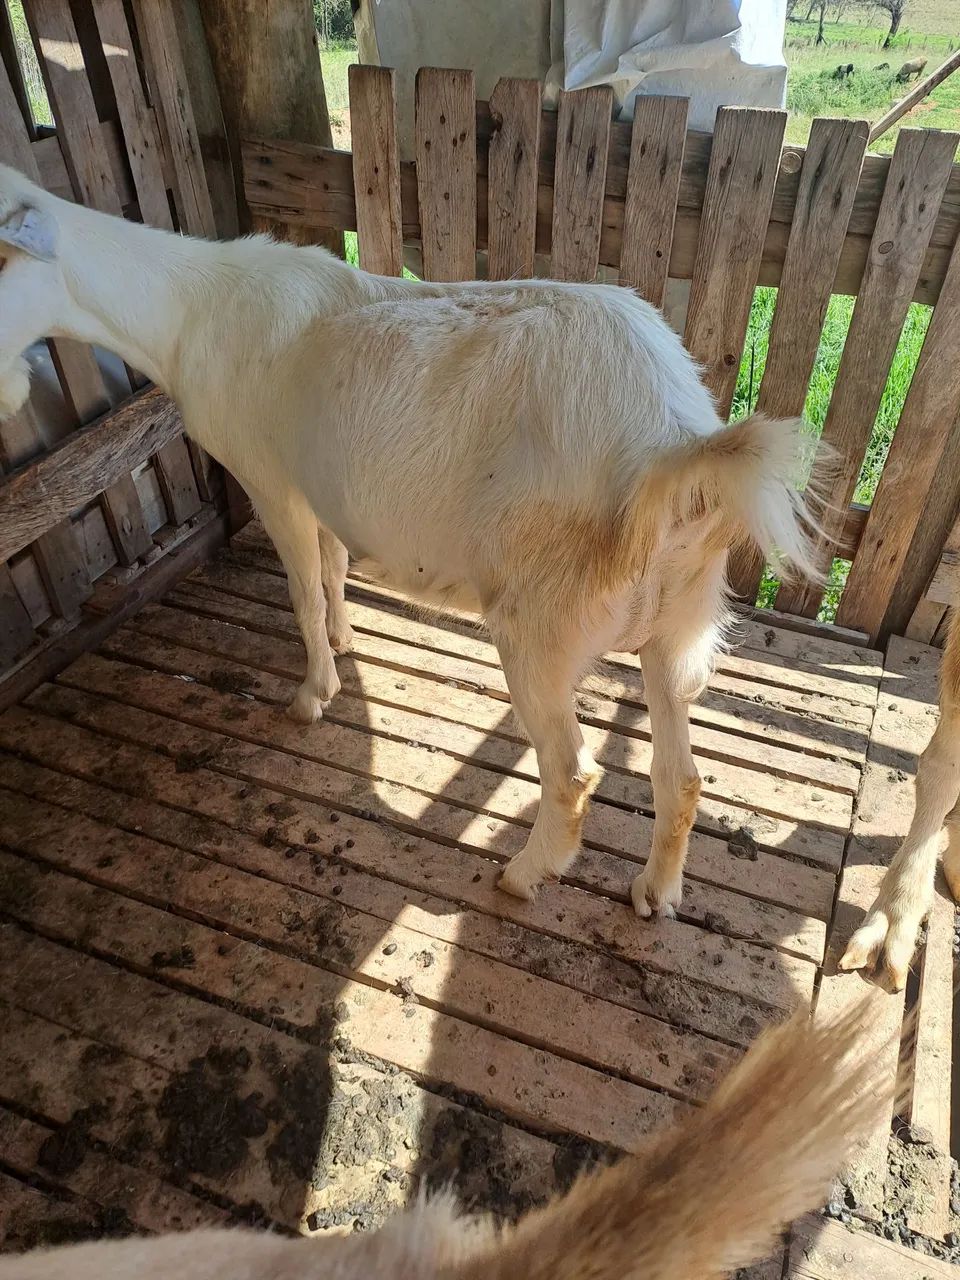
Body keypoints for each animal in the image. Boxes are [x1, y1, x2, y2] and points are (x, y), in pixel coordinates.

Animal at [0, 161, 819, 916]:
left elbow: (301, 591)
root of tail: (674, 438)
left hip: (542, 621)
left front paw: (312, 694)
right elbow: (332, 570)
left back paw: (523, 876)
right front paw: (344, 641)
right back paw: (655, 893)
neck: (190, 309)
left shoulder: (271, 479)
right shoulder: (320, 486)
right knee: (682, 776)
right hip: (680, 620)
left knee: (572, 773)